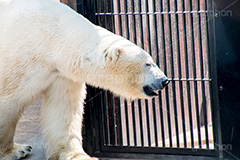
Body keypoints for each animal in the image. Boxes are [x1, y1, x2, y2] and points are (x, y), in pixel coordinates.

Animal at [0, 0, 169, 159]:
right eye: (148, 63)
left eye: (152, 60)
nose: (164, 80)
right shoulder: (20, 58)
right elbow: (8, 101)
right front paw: (15, 151)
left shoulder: (62, 74)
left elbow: (63, 108)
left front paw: (77, 155)